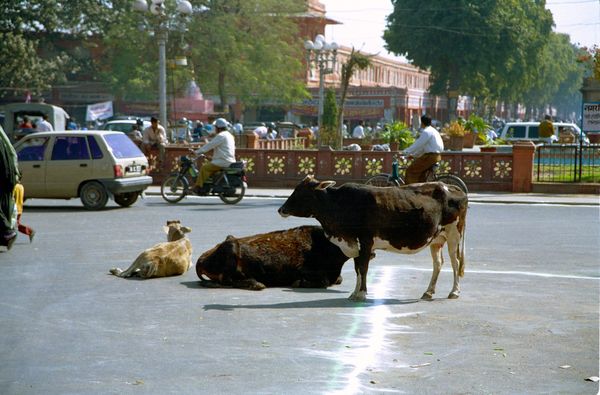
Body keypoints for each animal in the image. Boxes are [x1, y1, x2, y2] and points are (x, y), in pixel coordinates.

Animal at [195, 226, 350, 290]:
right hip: (231, 246)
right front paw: (298, 283)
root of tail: (200, 260)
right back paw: (256, 284)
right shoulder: (303, 269)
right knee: (227, 280)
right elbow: (324, 281)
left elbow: (338, 279)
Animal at [276, 178, 468, 302]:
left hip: (454, 234)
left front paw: (361, 294)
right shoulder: (355, 245)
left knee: (455, 262)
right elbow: (357, 269)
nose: (281, 209)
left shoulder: (366, 242)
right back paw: (428, 292)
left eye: (302, 192)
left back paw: (454, 292)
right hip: (436, 239)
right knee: (438, 263)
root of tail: (450, 186)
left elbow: (363, 267)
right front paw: (355, 293)